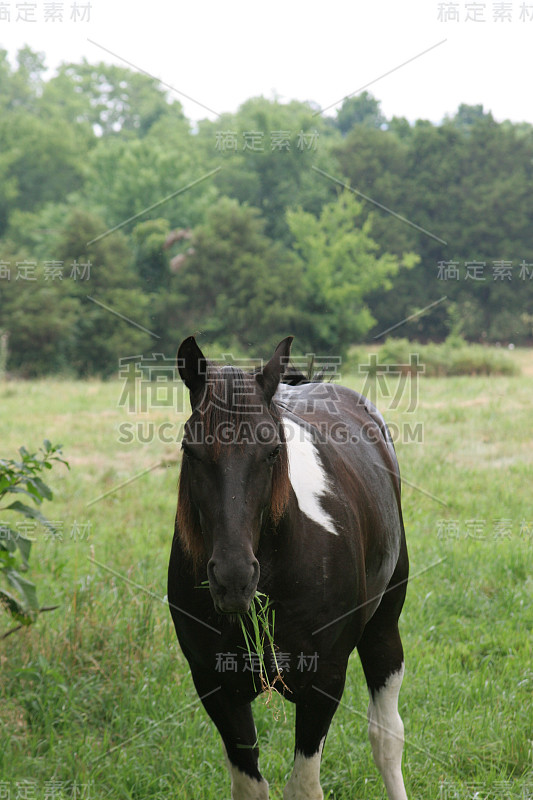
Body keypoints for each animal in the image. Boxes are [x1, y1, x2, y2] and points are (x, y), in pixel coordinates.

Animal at [168, 336, 410, 800]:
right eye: (191, 450)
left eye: (272, 450)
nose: (233, 579)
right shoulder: (215, 686)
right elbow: (249, 786)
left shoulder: (324, 682)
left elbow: (303, 787)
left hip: (384, 626)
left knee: (387, 737)